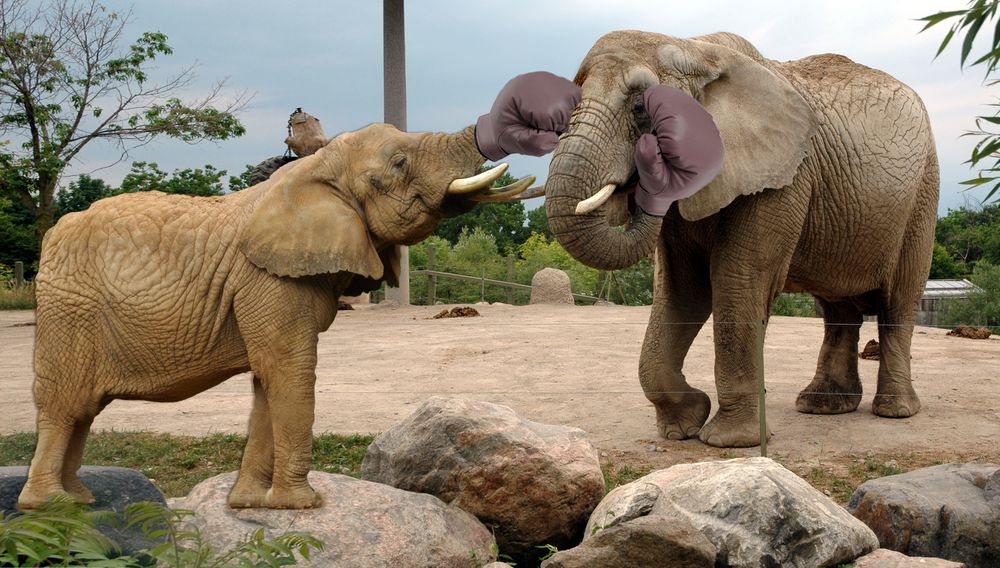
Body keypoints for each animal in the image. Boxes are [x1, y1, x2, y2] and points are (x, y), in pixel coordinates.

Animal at [548, 31, 936, 448]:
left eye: (640, 108)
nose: (638, 181)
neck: (695, 49)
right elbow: (684, 289)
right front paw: (683, 427)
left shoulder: (783, 178)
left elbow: (737, 280)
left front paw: (729, 442)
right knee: (838, 310)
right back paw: (821, 405)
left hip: (922, 195)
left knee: (898, 302)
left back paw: (894, 411)